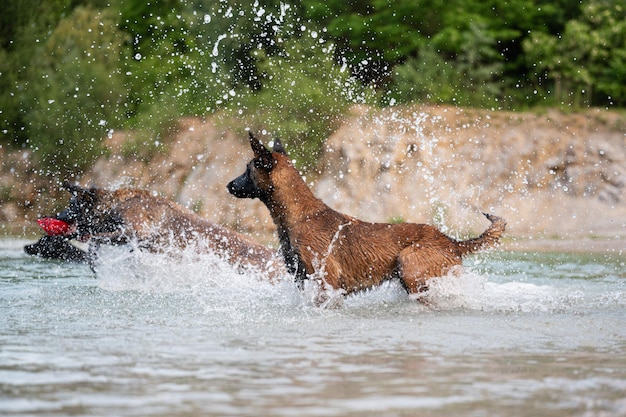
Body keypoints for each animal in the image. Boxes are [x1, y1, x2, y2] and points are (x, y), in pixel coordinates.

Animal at [56, 181, 286, 276]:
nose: (56, 216)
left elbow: (96, 240)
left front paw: (94, 261)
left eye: (72, 205)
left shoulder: (139, 231)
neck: (115, 204)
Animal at [227, 133, 504, 296]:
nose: (229, 185)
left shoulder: (325, 282)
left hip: (409, 265)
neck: (300, 215)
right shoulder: (301, 279)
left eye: (248, 169)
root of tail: (451, 242)